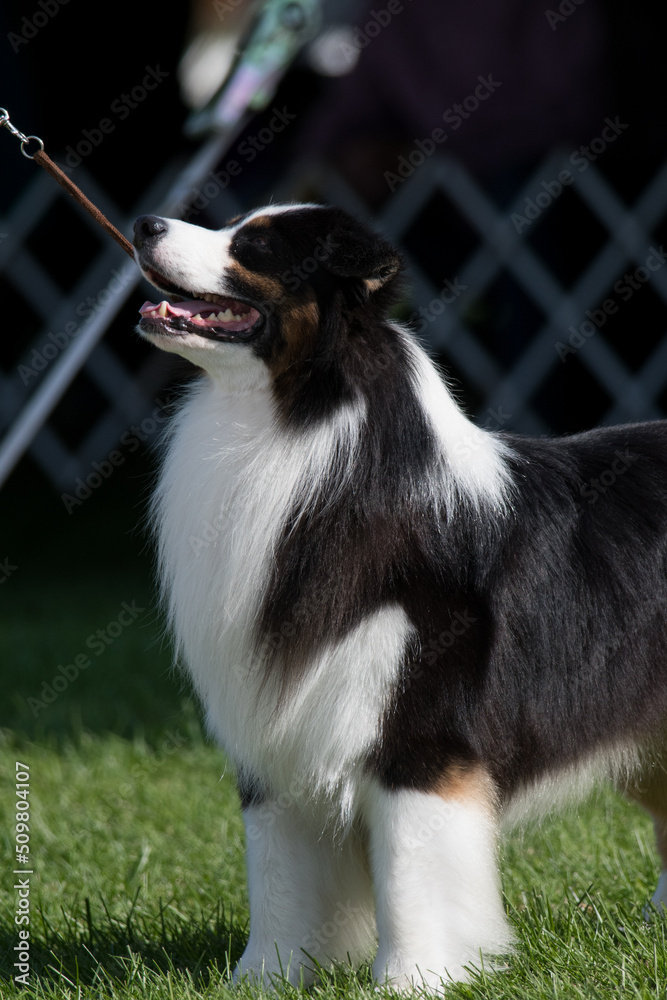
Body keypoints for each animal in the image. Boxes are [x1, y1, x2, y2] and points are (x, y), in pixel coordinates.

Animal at [133, 203, 667, 992]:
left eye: (254, 245)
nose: (143, 223)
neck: (289, 422)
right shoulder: (274, 735)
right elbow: (278, 873)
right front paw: (265, 979)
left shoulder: (421, 737)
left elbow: (413, 870)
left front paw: (414, 979)